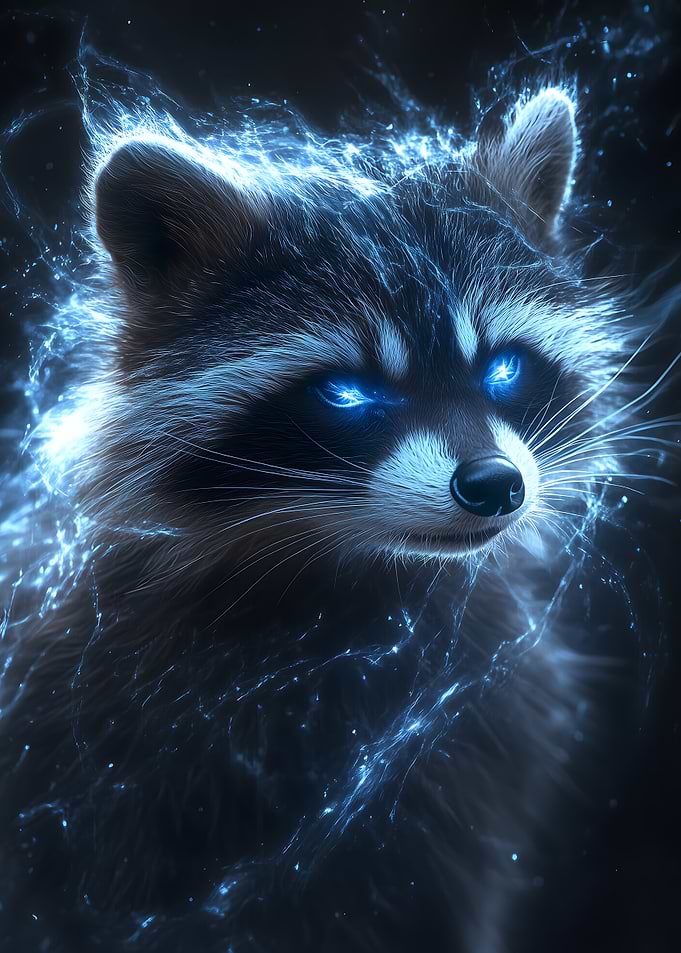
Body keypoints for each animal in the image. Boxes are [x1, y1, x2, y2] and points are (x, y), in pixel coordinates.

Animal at [0, 87, 633, 952]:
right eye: (346, 393)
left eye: (502, 367)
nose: (495, 485)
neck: (357, 576)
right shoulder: (92, 753)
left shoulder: (463, 763)